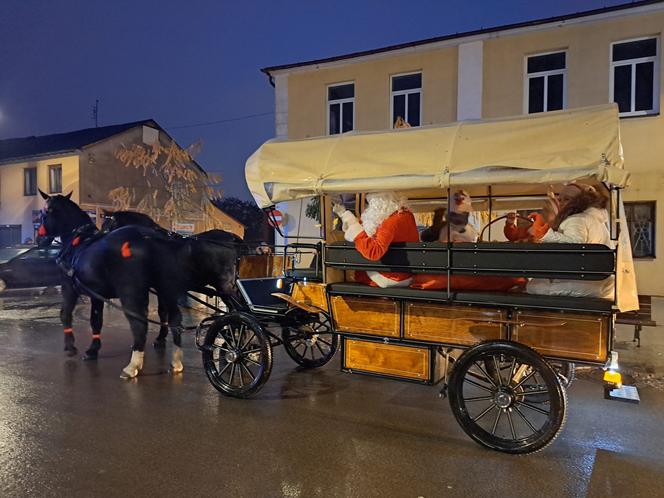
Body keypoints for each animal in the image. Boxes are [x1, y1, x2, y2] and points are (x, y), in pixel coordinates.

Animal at [38, 191, 191, 378]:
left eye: (44, 213)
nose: (39, 239)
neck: (78, 241)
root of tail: (151, 237)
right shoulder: (96, 294)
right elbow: (96, 320)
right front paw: (93, 349)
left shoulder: (69, 288)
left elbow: (65, 314)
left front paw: (70, 346)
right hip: (165, 288)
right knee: (174, 318)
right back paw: (175, 360)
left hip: (130, 292)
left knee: (140, 323)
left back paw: (133, 365)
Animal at [100, 209, 241, 346]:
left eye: (106, 229)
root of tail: (231, 238)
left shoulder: (161, 287)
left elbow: (162, 311)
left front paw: (161, 337)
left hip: (224, 286)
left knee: (237, 309)